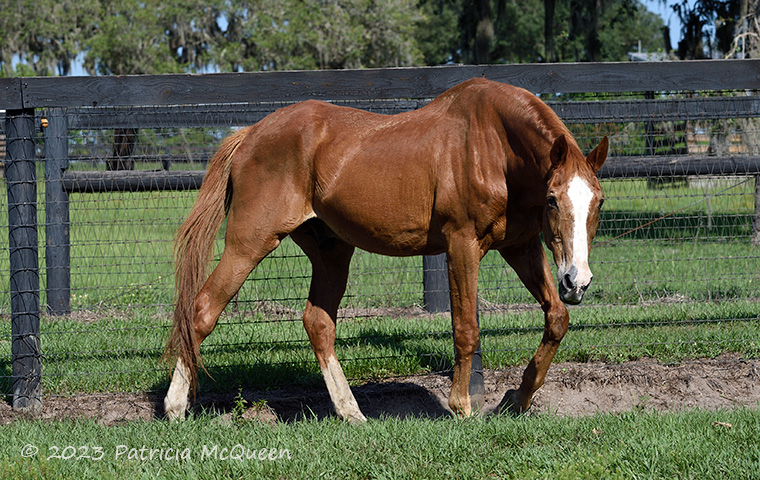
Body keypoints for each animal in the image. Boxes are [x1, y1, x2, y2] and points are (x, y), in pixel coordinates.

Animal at [163, 78, 608, 420]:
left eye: (599, 202)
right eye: (552, 200)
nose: (578, 280)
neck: (492, 143)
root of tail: (250, 134)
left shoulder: (520, 247)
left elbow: (557, 318)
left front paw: (517, 398)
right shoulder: (461, 245)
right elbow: (466, 328)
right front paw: (461, 406)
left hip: (331, 251)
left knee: (318, 323)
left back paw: (352, 412)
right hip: (249, 243)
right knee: (201, 310)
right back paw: (174, 407)